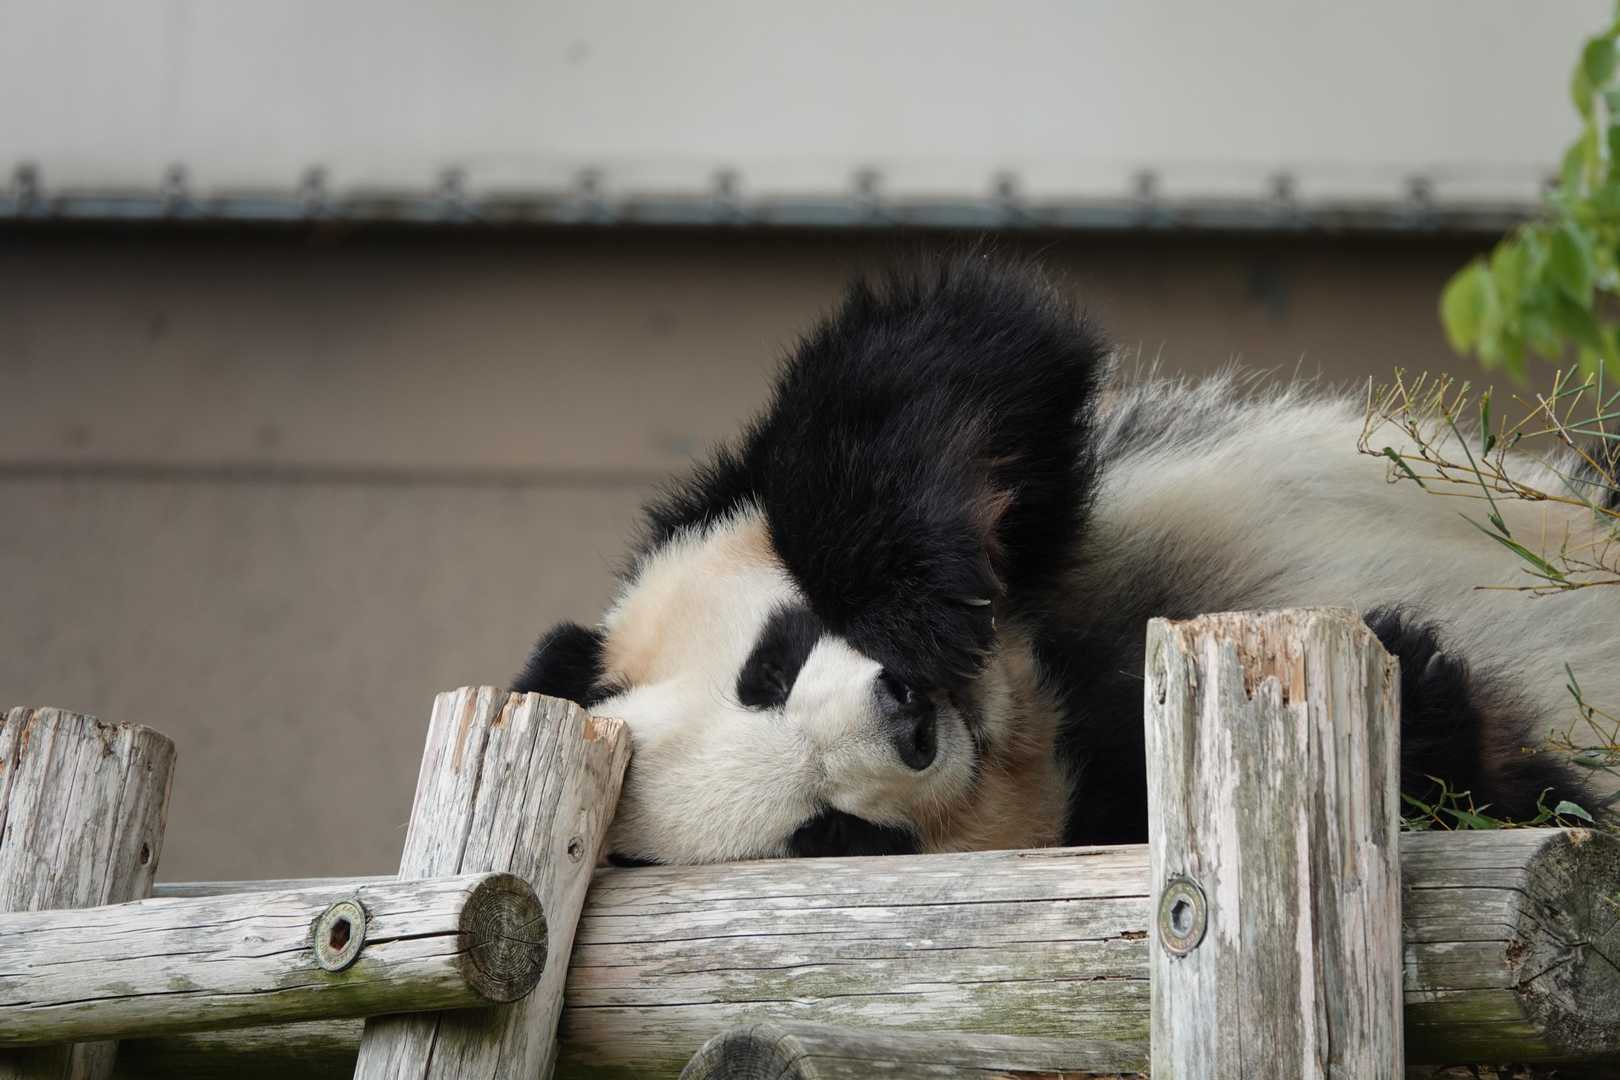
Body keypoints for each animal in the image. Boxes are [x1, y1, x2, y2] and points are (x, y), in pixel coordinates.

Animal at [514, 254, 1617, 866]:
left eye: (770, 669)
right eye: (831, 834)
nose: (908, 715)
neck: (1041, 700)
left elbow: (950, 351)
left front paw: (923, 605)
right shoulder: (1108, 809)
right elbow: (1494, 793)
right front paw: (1423, 690)